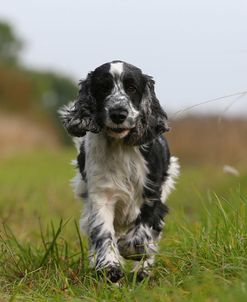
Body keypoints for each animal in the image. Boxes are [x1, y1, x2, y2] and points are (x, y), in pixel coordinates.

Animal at [59, 60, 179, 282]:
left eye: (131, 88)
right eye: (103, 87)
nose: (118, 114)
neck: (121, 146)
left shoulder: (153, 197)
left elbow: (143, 232)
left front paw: (129, 249)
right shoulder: (101, 197)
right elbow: (103, 232)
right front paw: (110, 267)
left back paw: (143, 271)